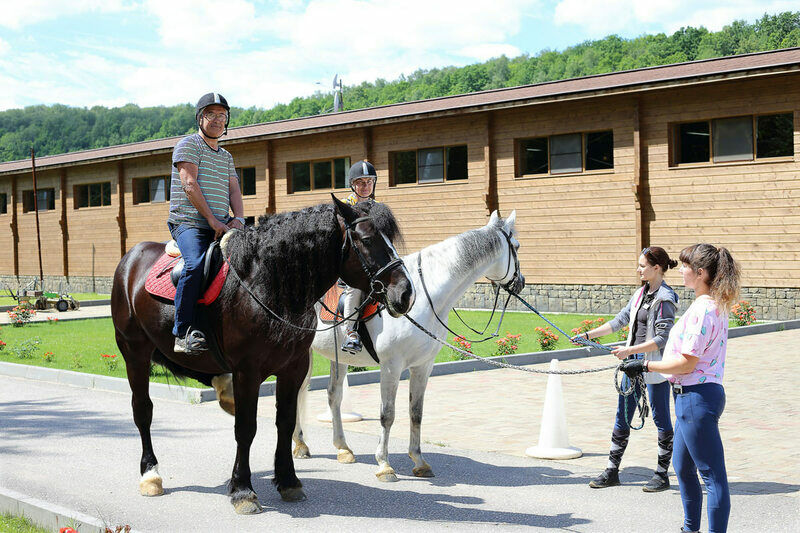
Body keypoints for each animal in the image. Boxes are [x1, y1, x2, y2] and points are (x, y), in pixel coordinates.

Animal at [110, 197, 416, 512]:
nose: (406, 293)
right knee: (143, 410)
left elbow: (286, 422)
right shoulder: (248, 371)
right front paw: (243, 490)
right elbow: (246, 428)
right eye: (366, 240)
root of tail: (131, 258)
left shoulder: (293, 368)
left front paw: (288, 481)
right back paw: (151, 475)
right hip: (134, 353)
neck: (268, 286)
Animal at [294, 212, 524, 482]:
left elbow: (416, 413)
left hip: (337, 358)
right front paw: (384, 465)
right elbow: (388, 414)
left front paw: (419, 461)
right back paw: (301, 445)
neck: (425, 296)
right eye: (517, 246)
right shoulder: (391, 366)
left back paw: (342, 449)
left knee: (333, 396)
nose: (521, 282)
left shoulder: (423, 366)